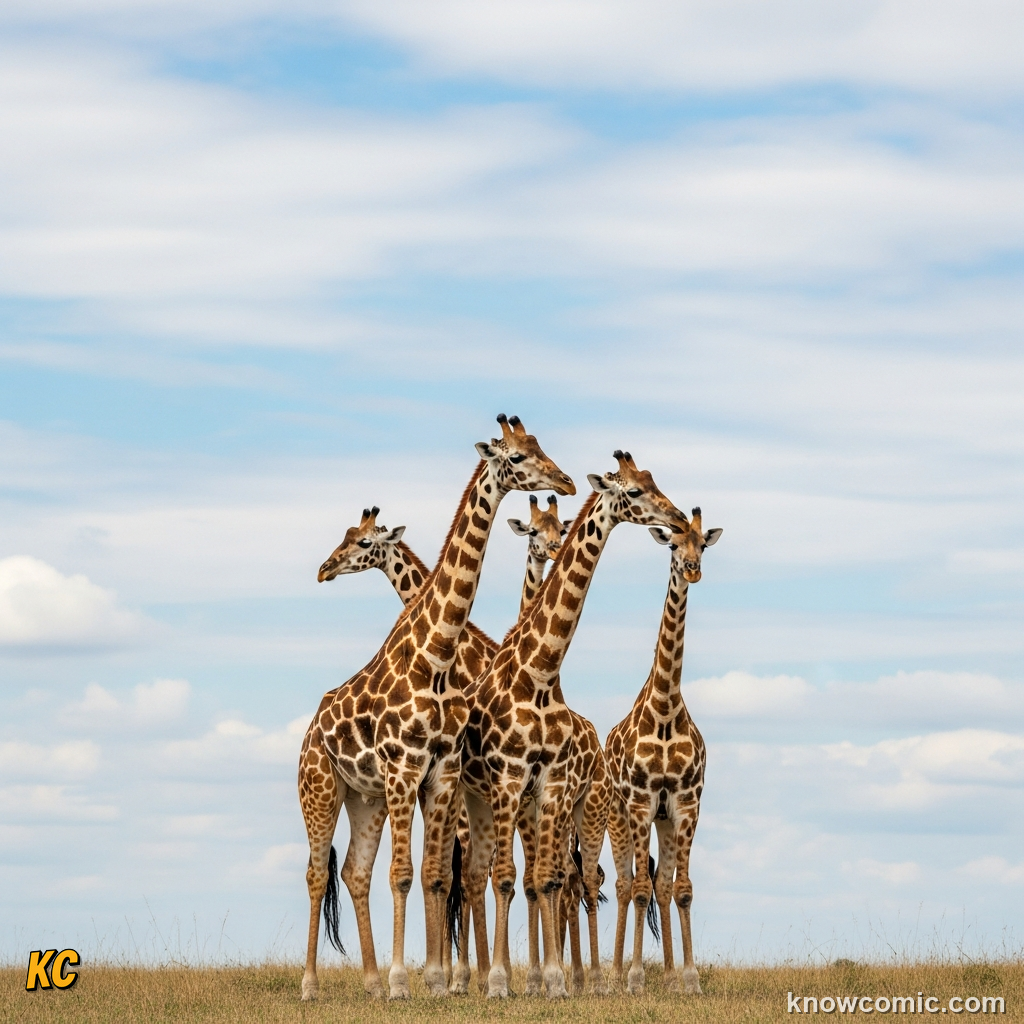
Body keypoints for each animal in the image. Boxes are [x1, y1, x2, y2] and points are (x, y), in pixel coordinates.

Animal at [298, 415, 574, 1001]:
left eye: (534, 448)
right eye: (517, 455)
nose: (325, 568)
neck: (439, 654)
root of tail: (310, 732)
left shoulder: (442, 773)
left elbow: (438, 875)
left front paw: (441, 979)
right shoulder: (411, 771)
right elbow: (416, 874)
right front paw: (424, 979)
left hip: (368, 798)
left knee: (356, 872)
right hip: (325, 789)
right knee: (320, 873)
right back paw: (315, 985)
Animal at [460, 451, 690, 999]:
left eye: (654, 480)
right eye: (633, 491)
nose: (675, 519)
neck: (540, 672)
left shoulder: (551, 783)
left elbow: (546, 878)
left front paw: (553, 981)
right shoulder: (510, 778)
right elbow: (509, 876)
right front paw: (501, 982)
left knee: (558, 879)